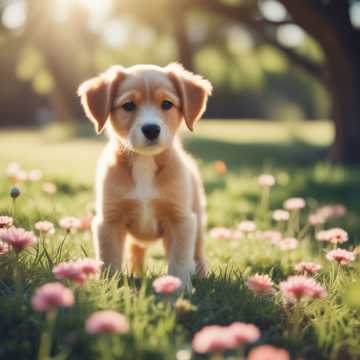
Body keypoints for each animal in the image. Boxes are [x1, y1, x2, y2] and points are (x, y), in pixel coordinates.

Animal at [76, 63, 211, 292]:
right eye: (128, 105)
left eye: (166, 104)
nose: (151, 129)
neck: (144, 163)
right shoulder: (109, 221)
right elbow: (109, 259)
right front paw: (109, 288)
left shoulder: (181, 220)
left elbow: (179, 260)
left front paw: (179, 290)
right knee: (135, 251)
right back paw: (135, 273)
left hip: (198, 221)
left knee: (198, 252)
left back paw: (201, 274)